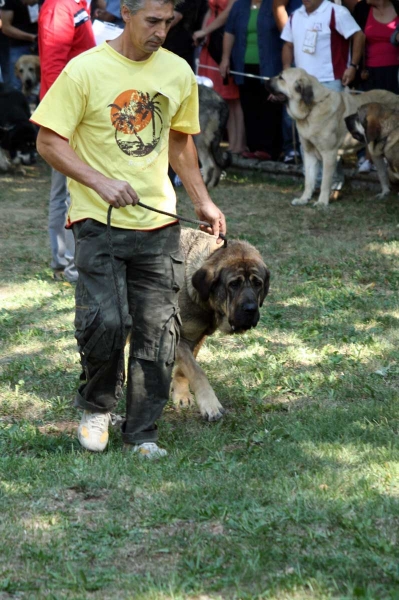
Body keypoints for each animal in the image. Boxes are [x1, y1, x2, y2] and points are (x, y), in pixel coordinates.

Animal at [173, 230, 270, 422]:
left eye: (258, 283)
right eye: (233, 284)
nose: (250, 309)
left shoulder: (196, 337)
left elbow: (184, 369)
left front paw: (181, 395)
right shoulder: (180, 337)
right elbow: (196, 371)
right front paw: (210, 404)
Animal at [266, 69, 399, 206]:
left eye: (281, 78)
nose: (266, 81)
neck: (311, 109)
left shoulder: (329, 154)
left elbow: (325, 182)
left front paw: (322, 202)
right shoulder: (309, 153)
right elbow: (309, 180)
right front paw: (304, 199)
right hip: (375, 152)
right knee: (383, 174)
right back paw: (384, 194)